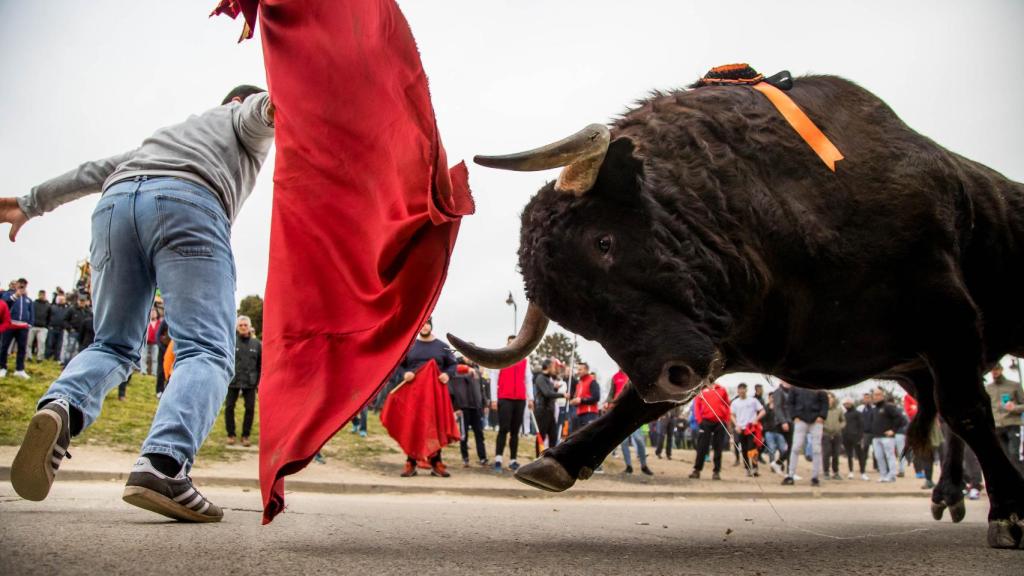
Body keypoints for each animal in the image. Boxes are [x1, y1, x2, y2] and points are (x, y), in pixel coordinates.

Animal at [450, 72, 1024, 545]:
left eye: (603, 241)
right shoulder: (721, 345)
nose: (668, 378)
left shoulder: (946, 314)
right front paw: (559, 460)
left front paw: (1009, 514)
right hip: (912, 369)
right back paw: (947, 496)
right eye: (573, 318)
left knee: (956, 416)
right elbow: (634, 406)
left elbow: (969, 409)